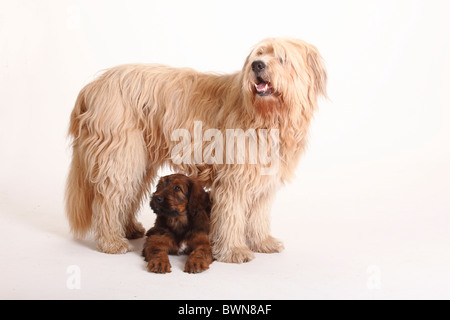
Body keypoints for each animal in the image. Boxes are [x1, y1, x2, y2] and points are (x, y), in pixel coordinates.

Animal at [66, 38, 326, 262]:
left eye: (282, 58)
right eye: (259, 55)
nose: (257, 65)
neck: (266, 117)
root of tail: (93, 86)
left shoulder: (264, 177)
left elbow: (258, 214)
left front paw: (263, 242)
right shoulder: (234, 178)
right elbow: (231, 214)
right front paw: (233, 250)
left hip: (138, 159)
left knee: (126, 195)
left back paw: (128, 228)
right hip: (120, 155)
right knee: (109, 200)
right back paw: (112, 241)